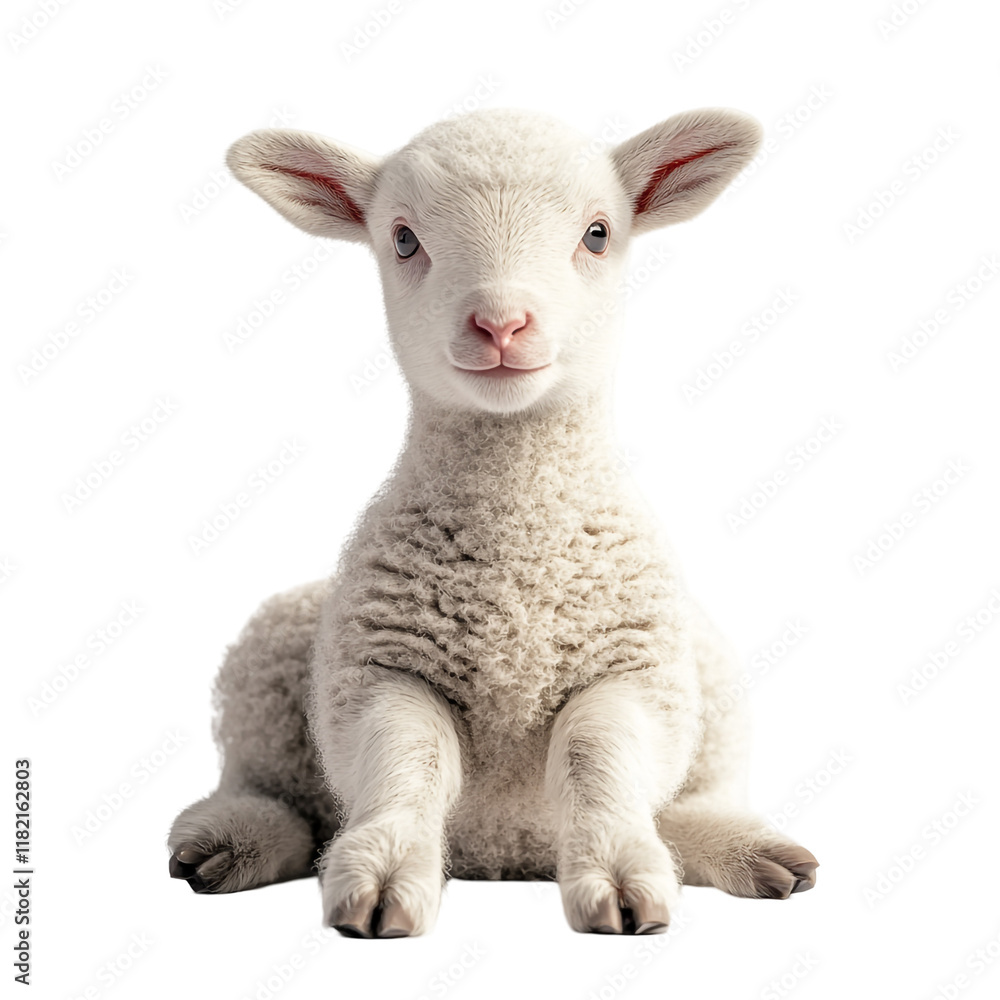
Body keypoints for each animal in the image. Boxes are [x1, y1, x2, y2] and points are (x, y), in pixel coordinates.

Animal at [168, 107, 818, 938]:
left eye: (598, 233)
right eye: (403, 239)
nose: (502, 323)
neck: (520, 548)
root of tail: (504, 855)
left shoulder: (635, 672)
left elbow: (597, 754)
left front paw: (618, 873)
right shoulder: (380, 671)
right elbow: (407, 759)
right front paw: (383, 878)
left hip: (712, 677)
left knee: (692, 797)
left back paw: (746, 849)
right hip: (268, 663)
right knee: (269, 787)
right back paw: (228, 842)